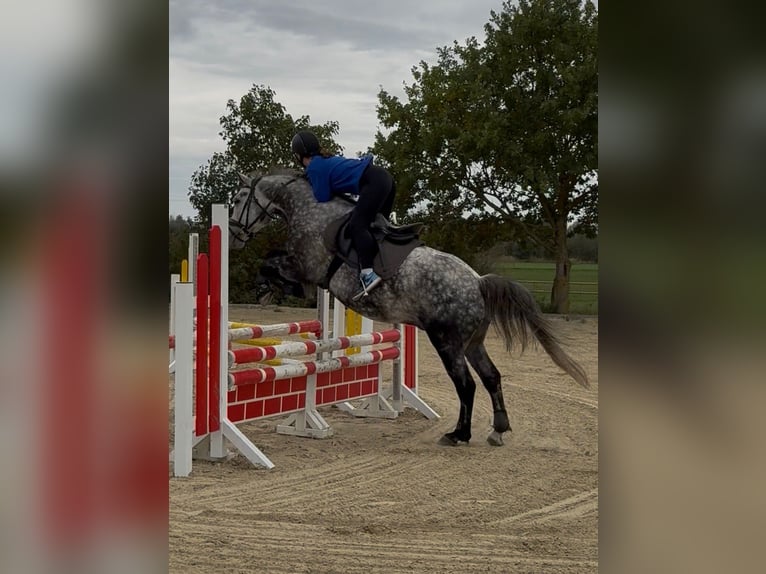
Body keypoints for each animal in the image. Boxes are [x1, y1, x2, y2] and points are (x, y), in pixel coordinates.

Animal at [228, 170, 589, 446]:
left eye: (238, 199)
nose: (232, 236)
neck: (310, 208)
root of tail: (477, 281)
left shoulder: (308, 269)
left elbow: (272, 263)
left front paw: (265, 288)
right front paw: (265, 289)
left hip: (446, 341)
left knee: (466, 384)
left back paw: (459, 435)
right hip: (472, 343)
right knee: (491, 377)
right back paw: (498, 431)